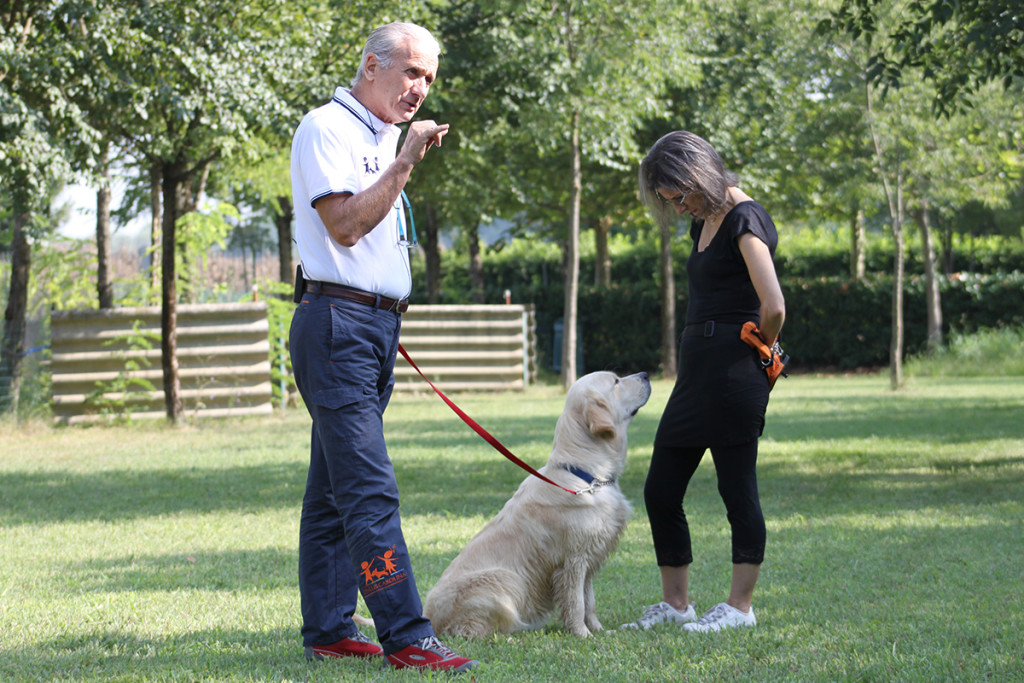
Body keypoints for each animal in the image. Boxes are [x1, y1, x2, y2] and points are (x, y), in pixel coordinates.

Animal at [421, 370, 647, 638]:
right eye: (616, 381)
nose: (646, 374)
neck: (586, 475)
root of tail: (429, 618)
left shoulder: (590, 557)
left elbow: (589, 601)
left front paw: (599, 630)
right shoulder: (573, 561)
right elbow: (577, 603)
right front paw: (583, 635)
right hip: (505, 579)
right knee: (470, 631)